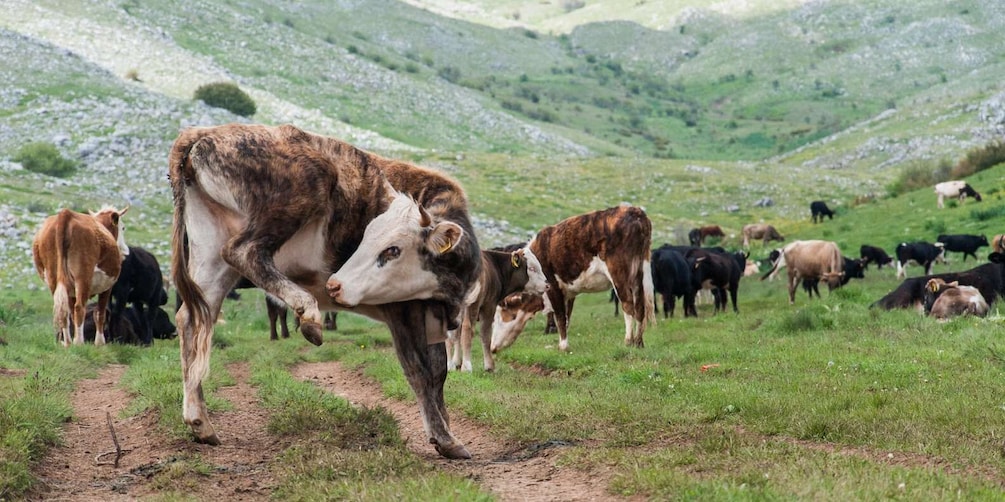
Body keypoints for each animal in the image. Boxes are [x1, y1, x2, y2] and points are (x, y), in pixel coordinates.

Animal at [32, 205, 129, 347]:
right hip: (83, 277)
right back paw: (79, 342)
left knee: (64, 311)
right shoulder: (107, 287)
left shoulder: (72, 291)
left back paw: (68, 343)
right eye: (123, 227)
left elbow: (71, 311)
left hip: (53, 277)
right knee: (79, 308)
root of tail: (65, 215)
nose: (125, 250)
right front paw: (100, 343)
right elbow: (100, 313)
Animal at [169, 123, 482, 459]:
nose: (335, 284)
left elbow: (437, 372)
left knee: (193, 319)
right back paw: (308, 312)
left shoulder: (434, 316)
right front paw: (444, 437)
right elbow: (419, 372)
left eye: (393, 249)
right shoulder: (402, 309)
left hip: (210, 258)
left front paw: (445, 429)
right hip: (299, 194)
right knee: (243, 251)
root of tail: (203, 132)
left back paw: (199, 420)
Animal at [492, 203, 655, 353]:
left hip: (619, 273)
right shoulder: (569, 292)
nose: (492, 347)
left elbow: (560, 316)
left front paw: (563, 347)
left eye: (500, 317)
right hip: (638, 273)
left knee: (628, 305)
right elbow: (567, 317)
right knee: (640, 306)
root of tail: (635, 212)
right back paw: (639, 342)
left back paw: (628, 341)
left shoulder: (552, 286)